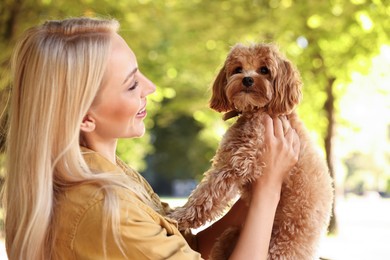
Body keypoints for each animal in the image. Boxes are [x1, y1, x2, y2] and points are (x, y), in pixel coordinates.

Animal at [169, 43, 334, 258]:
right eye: (238, 69)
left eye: (264, 70)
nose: (247, 79)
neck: (259, 111)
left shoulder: (238, 163)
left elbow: (207, 194)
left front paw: (179, 216)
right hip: (232, 234)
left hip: (279, 249)